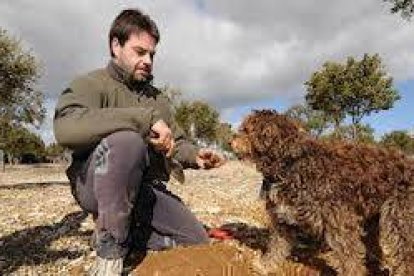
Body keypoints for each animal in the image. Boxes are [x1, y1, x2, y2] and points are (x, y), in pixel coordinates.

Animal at [231, 110, 414, 276]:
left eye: (246, 130)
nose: (231, 139)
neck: (290, 166)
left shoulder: (340, 223)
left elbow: (349, 257)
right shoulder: (282, 218)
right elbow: (276, 246)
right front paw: (265, 265)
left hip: (400, 219)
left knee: (406, 255)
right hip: (372, 219)